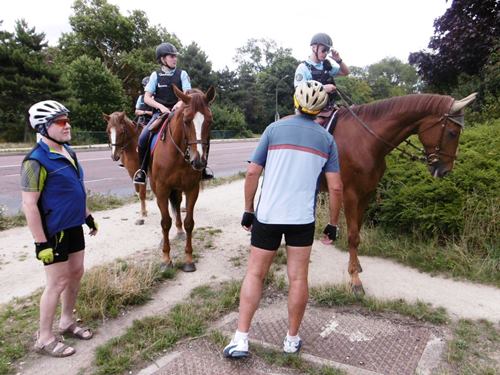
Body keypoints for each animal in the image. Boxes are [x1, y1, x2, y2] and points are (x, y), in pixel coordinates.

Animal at [150, 86, 217, 272]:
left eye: (210, 121)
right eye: (186, 121)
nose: (199, 161)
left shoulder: (191, 188)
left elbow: (189, 223)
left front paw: (188, 259)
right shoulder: (162, 189)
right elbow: (165, 222)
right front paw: (166, 259)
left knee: (177, 205)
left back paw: (179, 232)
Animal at [320, 91, 476, 294]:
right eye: (452, 133)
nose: (445, 171)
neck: (365, 140)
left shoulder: (366, 194)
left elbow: (358, 233)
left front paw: (356, 266)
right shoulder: (350, 194)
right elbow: (353, 236)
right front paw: (355, 280)